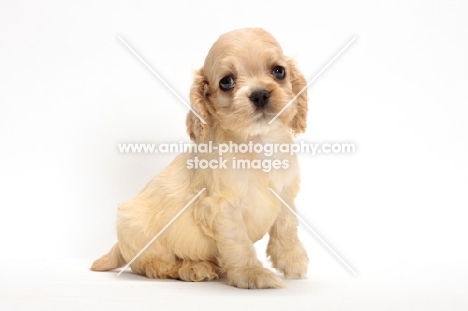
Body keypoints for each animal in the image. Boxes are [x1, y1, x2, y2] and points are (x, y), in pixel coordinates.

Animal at [93, 27, 308, 290]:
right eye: (226, 82)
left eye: (279, 71)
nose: (259, 95)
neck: (257, 141)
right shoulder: (223, 208)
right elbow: (239, 243)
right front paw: (251, 274)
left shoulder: (285, 191)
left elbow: (287, 224)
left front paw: (292, 258)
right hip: (134, 226)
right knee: (154, 265)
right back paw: (193, 268)